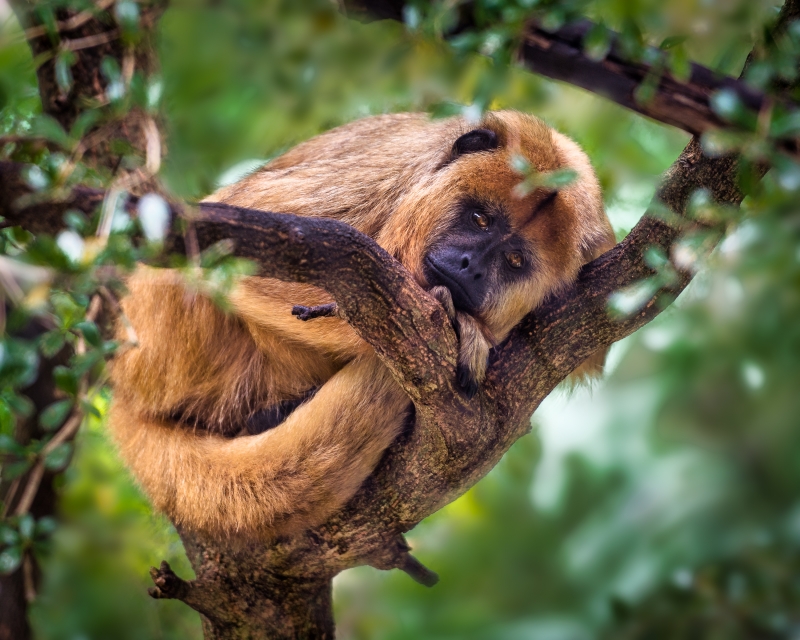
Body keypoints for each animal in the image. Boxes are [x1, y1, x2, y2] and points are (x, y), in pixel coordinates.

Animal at [109, 111, 616, 540]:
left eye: (514, 261)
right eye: (480, 218)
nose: (469, 267)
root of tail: (125, 389)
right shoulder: (381, 174)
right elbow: (237, 240)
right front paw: (457, 326)